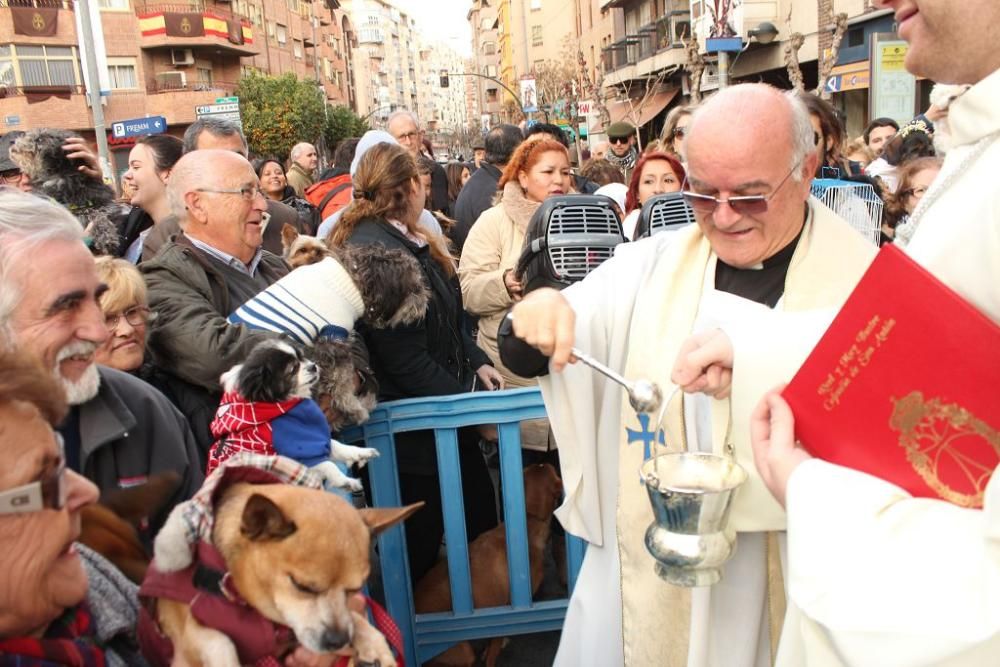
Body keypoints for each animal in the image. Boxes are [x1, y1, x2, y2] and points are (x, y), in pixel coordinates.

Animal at [141, 470, 422, 667]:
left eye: (354, 589)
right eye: (302, 586)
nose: (338, 641)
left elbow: (353, 617)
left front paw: (375, 644)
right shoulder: (186, 632)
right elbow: (220, 642)